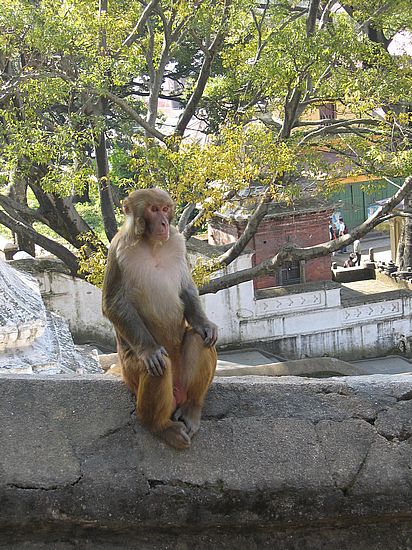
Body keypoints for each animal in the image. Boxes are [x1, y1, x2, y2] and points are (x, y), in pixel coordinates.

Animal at [102, 188, 219, 450]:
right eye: (153, 210)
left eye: (165, 209)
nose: (164, 223)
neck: (152, 244)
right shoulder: (118, 248)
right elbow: (113, 304)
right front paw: (149, 350)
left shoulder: (177, 241)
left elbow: (186, 289)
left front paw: (205, 324)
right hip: (133, 377)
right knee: (160, 366)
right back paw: (160, 426)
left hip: (183, 379)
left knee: (199, 339)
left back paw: (192, 408)